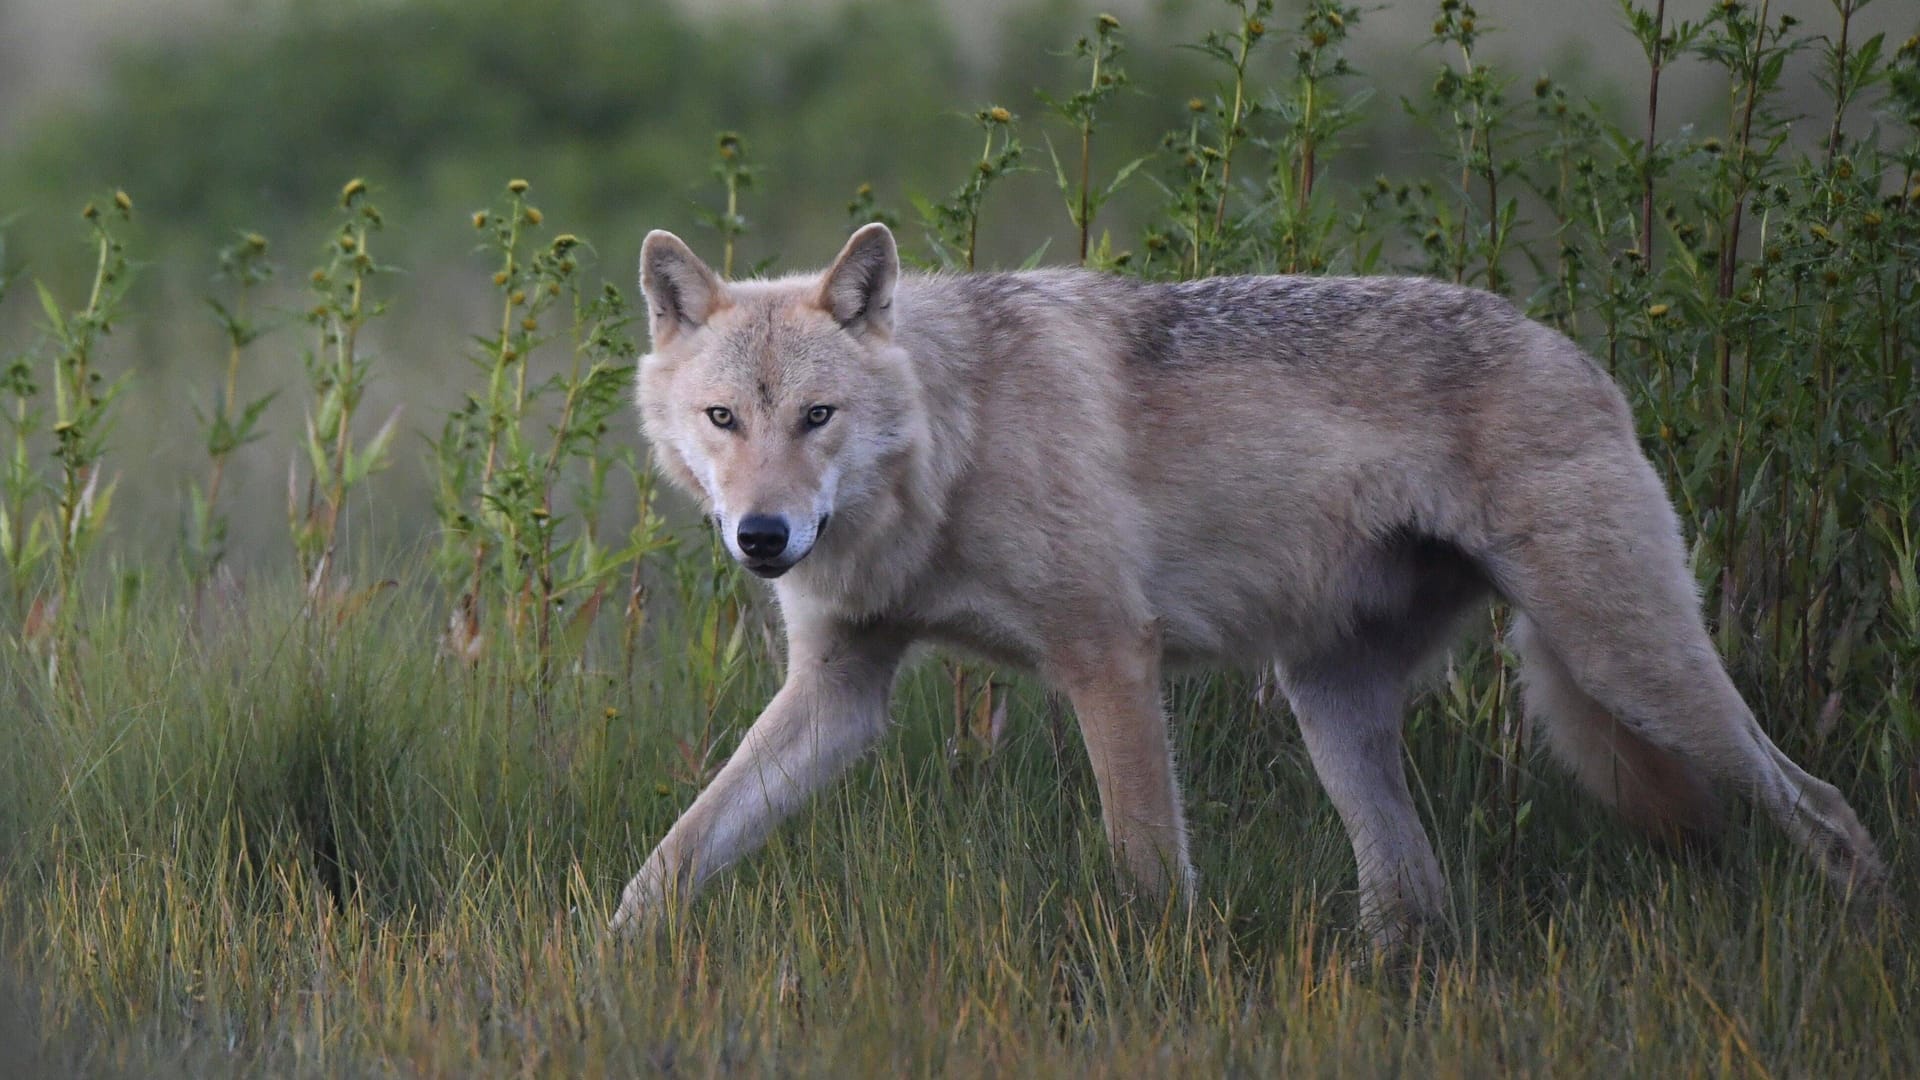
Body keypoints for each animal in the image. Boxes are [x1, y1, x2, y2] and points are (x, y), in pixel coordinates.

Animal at [618, 220, 1889, 941]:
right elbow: (674, 854)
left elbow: (1147, 868)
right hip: (1336, 708)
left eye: (817, 417)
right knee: (1416, 896)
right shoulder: (840, 691)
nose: (764, 536)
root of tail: (1574, 349)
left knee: (1826, 807)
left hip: (1630, 666)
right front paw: (607, 966)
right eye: (724, 420)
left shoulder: (1109, 660)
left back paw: (1867, 952)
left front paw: (1160, 989)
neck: (952, 443)